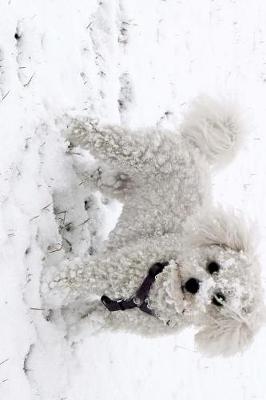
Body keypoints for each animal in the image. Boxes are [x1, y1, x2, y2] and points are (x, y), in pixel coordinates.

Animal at [41, 96, 264, 356]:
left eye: (219, 299)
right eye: (213, 266)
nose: (193, 284)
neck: (157, 294)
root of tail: (197, 153)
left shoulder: (113, 315)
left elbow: (89, 320)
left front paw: (71, 329)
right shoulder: (111, 269)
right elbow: (72, 278)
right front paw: (47, 289)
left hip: (123, 185)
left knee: (99, 176)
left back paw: (74, 172)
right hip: (138, 153)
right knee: (102, 133)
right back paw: (69, 124)